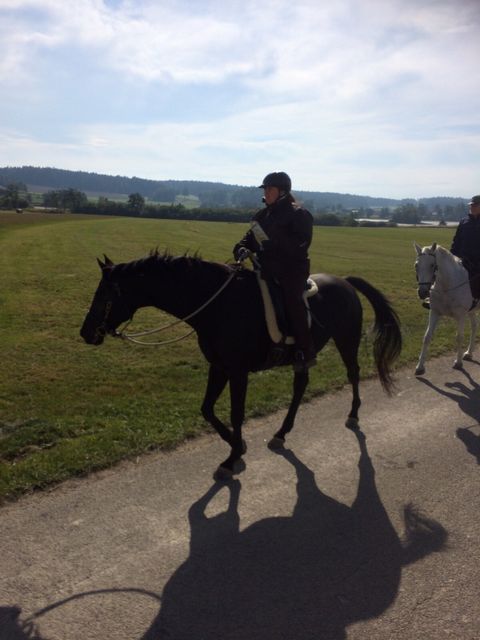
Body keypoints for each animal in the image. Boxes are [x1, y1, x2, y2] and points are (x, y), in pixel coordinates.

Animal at [81, 252, 402, 478]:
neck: (217, 306)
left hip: (346, 341)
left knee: (353, 374)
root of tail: (345, 282)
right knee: (301, 386)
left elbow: (236, 413)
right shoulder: (218, 367)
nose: (86, 332)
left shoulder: (237, 372)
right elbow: (207, 409)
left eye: (105, 294)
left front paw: (232, 457)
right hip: (304, 356)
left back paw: (353, 415)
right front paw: (237, 445)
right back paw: (281, 433)